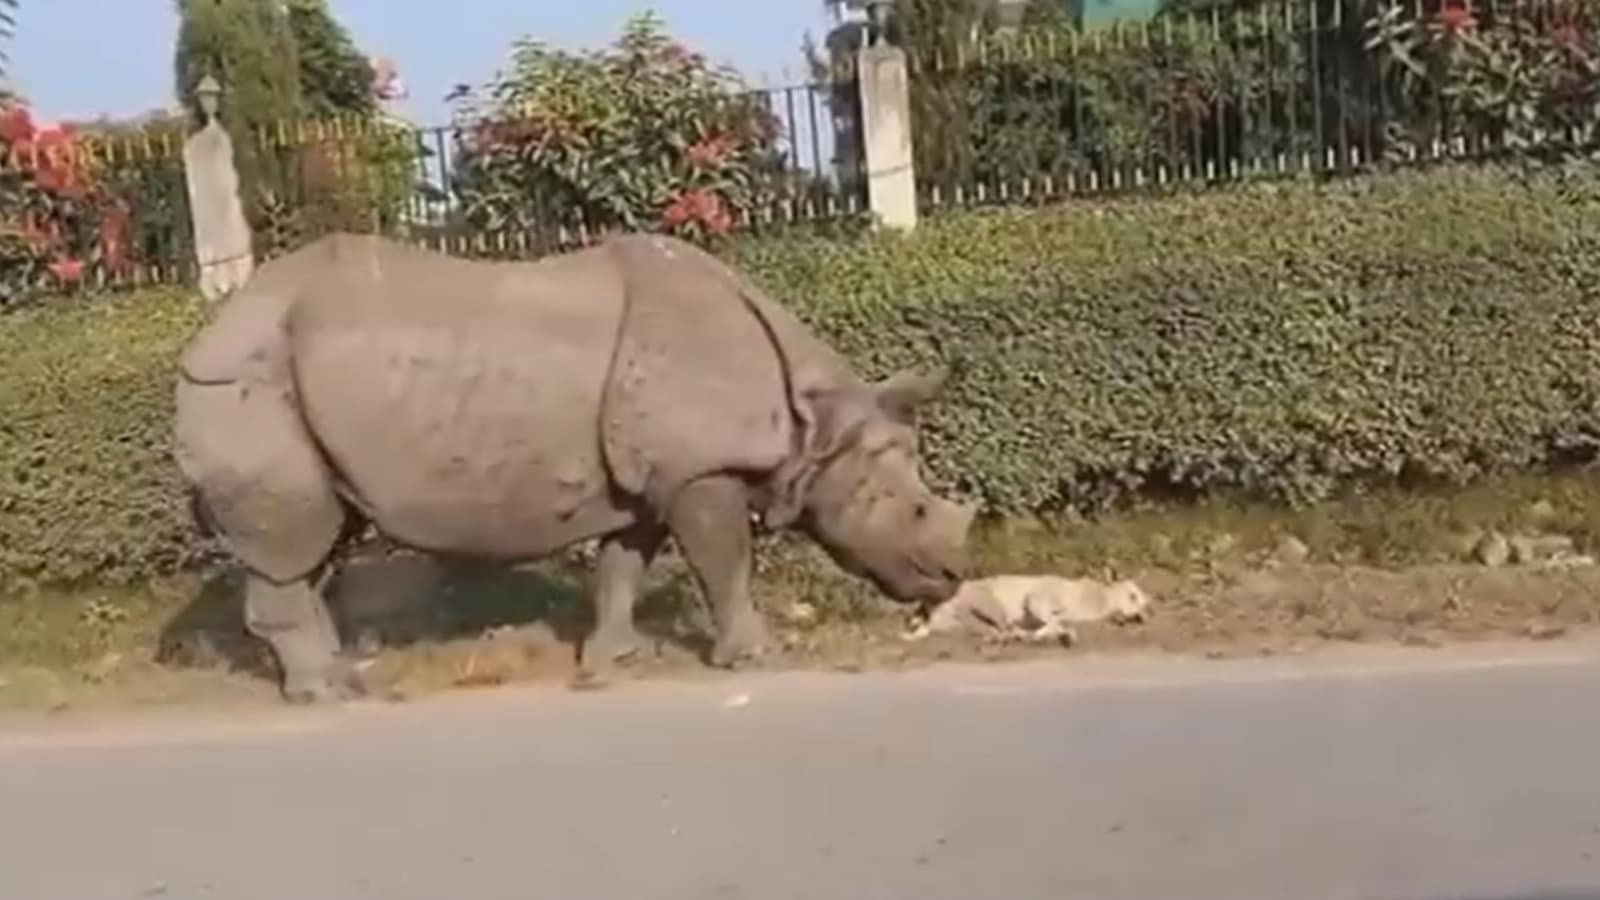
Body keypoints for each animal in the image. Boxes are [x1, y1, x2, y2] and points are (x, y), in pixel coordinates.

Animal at [902, 573, 1152, 643]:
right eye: (1133, 595)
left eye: (1142, 599)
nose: (1148, 613)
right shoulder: (1036, 597)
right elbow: (1054, 621)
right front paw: (1062, 634)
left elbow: (1056, 622)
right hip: (989, 605)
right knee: (1001, 629)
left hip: (963, 622)